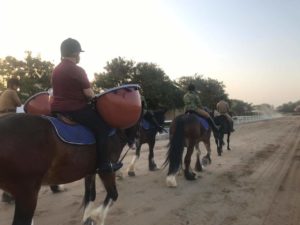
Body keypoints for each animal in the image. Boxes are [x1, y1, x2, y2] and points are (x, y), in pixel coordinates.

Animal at [0, 112, 137, 225]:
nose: (135, 143)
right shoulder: (107, 170)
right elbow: (113, 194)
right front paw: (95, 218)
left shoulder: (90, 172)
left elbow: (90, 197)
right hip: (27, 193)